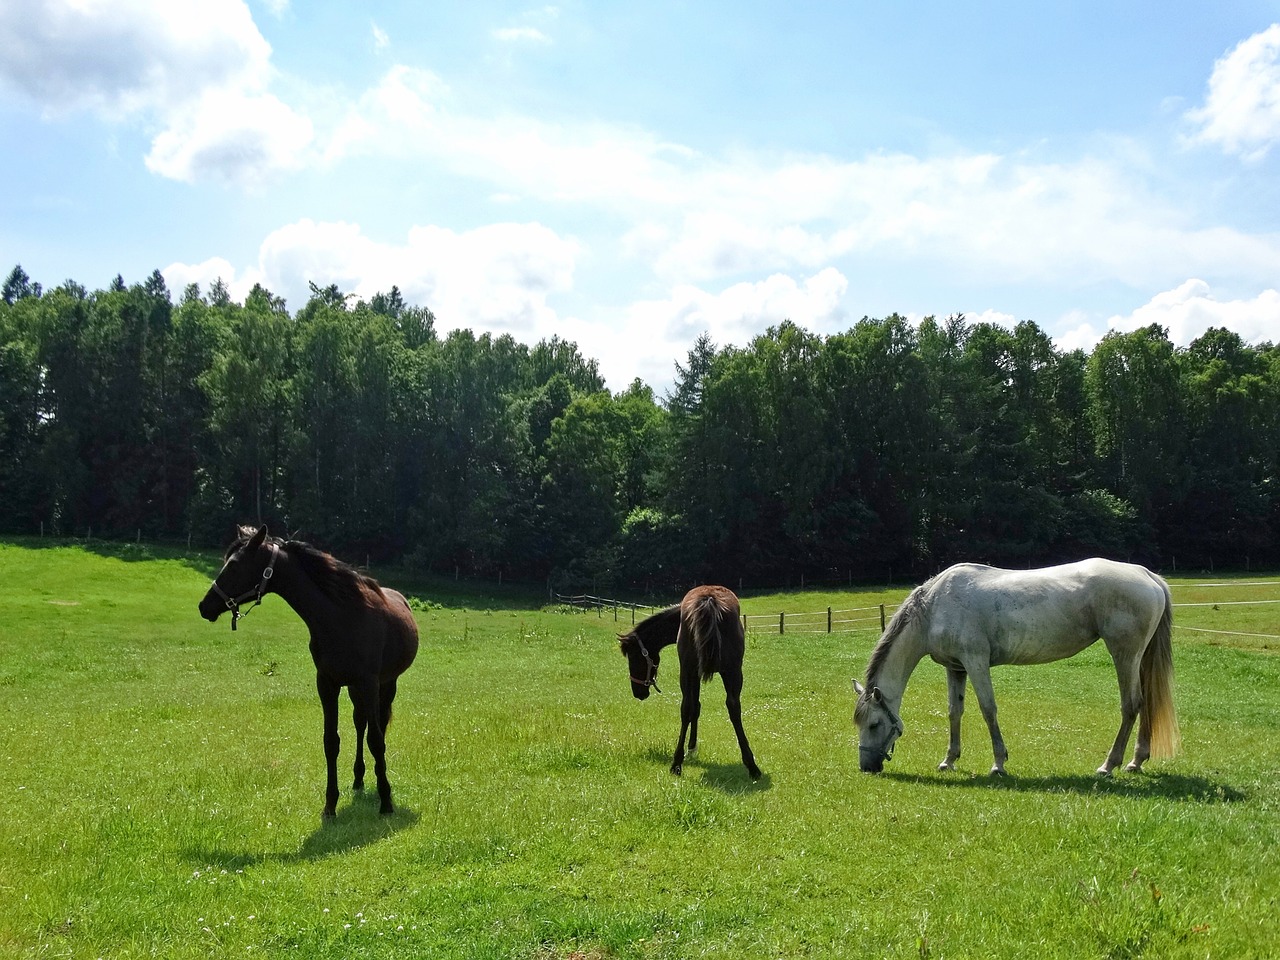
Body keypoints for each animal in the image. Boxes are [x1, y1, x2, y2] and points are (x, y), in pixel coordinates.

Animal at [198, 527, 419, 819]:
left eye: (234, 565)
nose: (205, 606)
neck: (341, 618)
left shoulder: (369, 683)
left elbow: (376, 740)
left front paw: (386, 801)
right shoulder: (327, 684)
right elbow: (331, 742)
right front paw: (330, 805)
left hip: (386, 684)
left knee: (376, 726)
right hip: (354, 689)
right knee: (360, 723)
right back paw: (358, 778)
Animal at [619, 586, 757, 783]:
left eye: (634, 657)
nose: (638, 692)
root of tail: (709, 599)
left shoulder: (693, 674)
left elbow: (694, 708)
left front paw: (691, 747)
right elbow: (695, 708)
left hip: (689, 672)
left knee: (688, 708)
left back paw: (677, 763)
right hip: (731, 672)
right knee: (732, 707)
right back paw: (751, 765)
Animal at [849, 560, 1177, 778]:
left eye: (874, 724)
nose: (867, 767)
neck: (934, 608)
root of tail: (1147, 575)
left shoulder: (976, 662)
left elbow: (988, 709)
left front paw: (998, 763)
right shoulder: (956, 669)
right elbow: (955, 712)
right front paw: (949, 760)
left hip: (1125, 655)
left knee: (1130, 706)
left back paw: (1109, 765)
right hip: (1139, 658)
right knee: (1146, 705)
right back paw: (1136, 762)